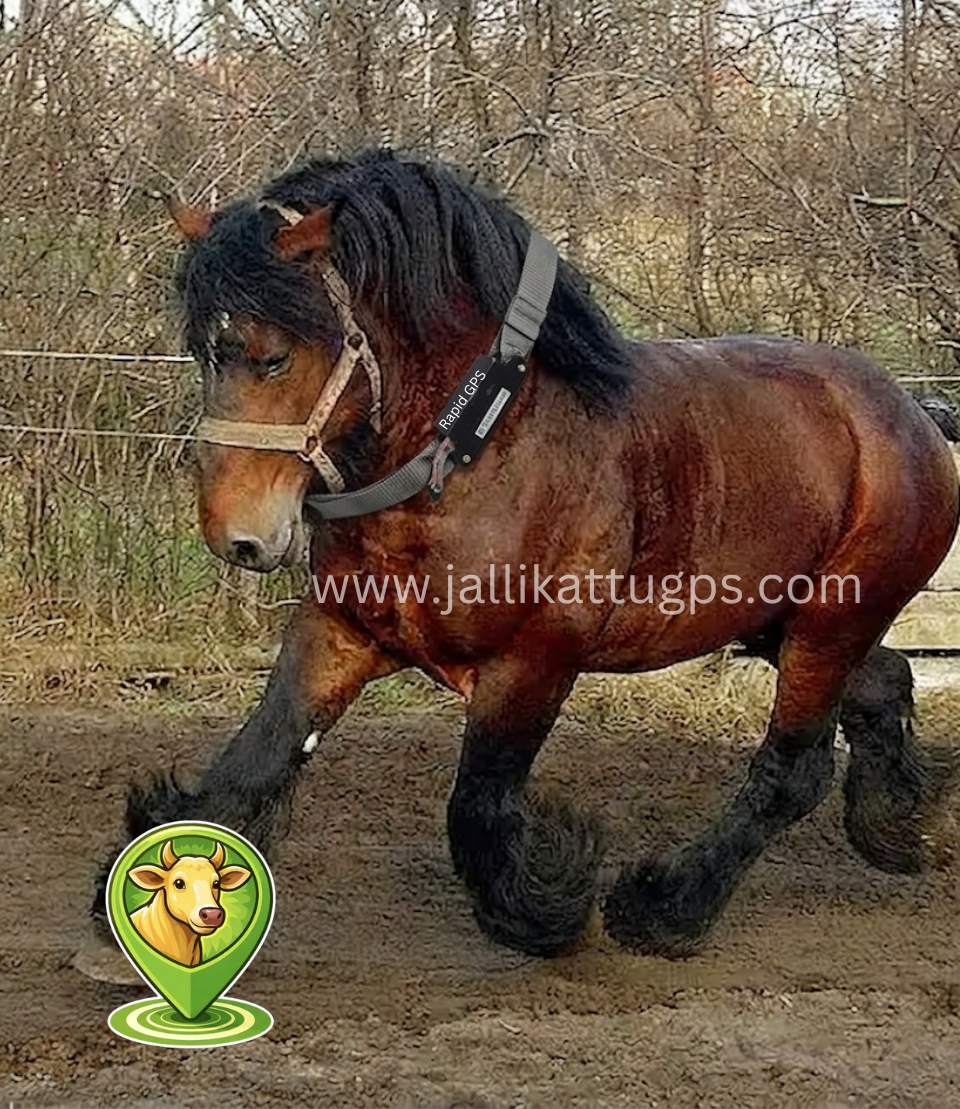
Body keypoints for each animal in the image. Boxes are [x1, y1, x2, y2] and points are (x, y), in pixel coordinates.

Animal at [95, 148, 960, 960]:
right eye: (203, 353)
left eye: (271, 356)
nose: (236, 533)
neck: (470, 458)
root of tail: (912, 412)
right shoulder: (340, 630)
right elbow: (257, 758)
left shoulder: (534, 660)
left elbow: (475, 808)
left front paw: (548, 902)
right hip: (779, 622)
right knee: (884, 683)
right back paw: (904, 825)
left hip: (829, 623)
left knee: (793, 769)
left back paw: (667, 907)